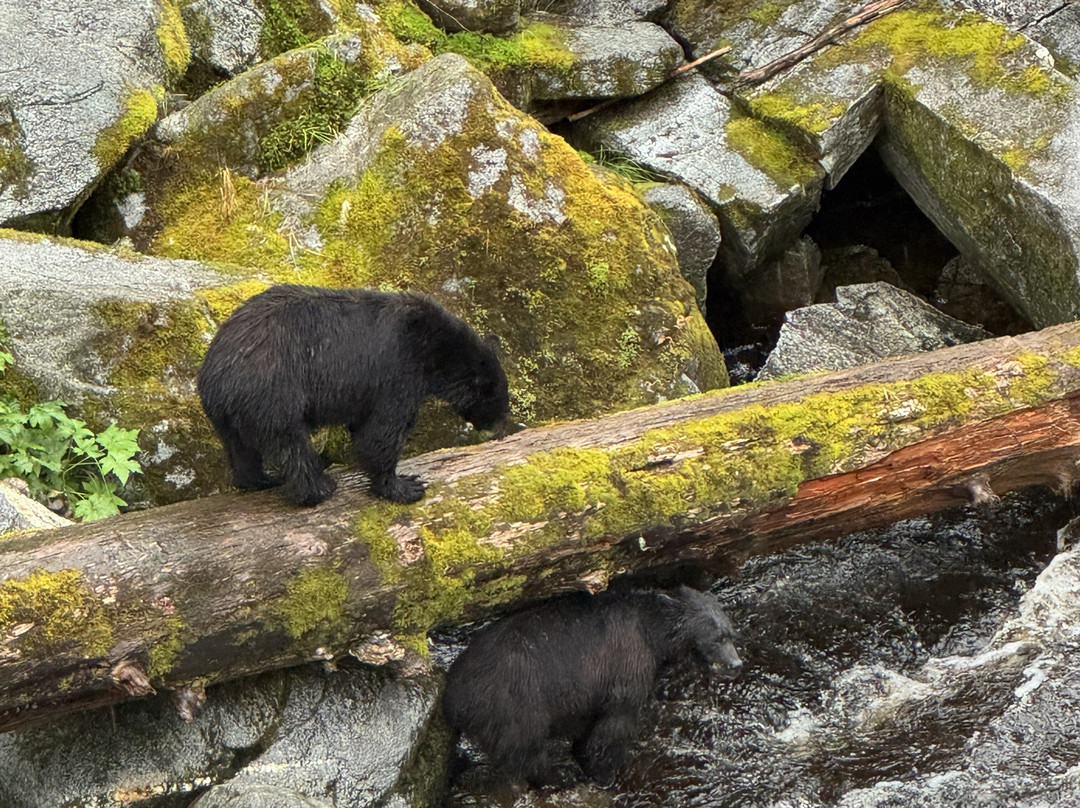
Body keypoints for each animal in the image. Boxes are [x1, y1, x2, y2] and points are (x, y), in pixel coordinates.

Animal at [197, 284, 510, 506]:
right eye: (501, 403)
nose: (506, 429)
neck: (432, 349)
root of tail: (214, 373)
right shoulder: (396, 374)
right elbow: (382, 432)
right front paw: (404, 486)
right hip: (273, 390)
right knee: (290, 442)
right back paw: (318, 488)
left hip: (230, 413)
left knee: (240, 448)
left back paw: (260, 479)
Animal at [442, 585, 742, 788]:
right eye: (717, 638)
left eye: (731, 633)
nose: (736, 663)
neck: (651, 633)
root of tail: (453, 697)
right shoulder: (626, 662)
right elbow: (615, 722)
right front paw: (606, 772)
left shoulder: (589, 689)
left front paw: (586, 758)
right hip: (514, 704)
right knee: (527, 749)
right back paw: (557, 777)